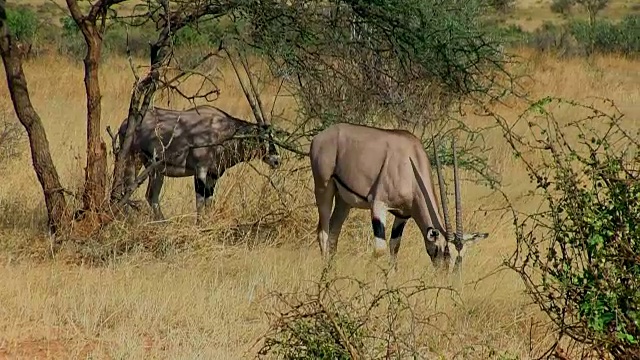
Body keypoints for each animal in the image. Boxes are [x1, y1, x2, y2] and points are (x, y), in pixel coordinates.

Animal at [119, 104, 282, 222]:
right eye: (262, 138)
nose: (276, 160)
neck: (222, 131)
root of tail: (125, 124)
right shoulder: (200, 170)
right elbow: (200, 201)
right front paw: (200, 226)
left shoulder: (214, 174)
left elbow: (209, 201)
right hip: (133, 161)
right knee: (127, 191)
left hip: (156, 170)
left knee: (150, 195)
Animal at [312, 122, 490, 272]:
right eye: (445, 251)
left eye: (462, 255)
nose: (450, 276)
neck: (410, 167)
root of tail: (320, 136)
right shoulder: (378, 205)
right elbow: (380, 249)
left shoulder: (403, 215)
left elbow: (394, 246)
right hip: (323, 189)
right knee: (323, 232)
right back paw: (324, 272)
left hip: (343, 201)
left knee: (334, 232)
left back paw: (332, 270)